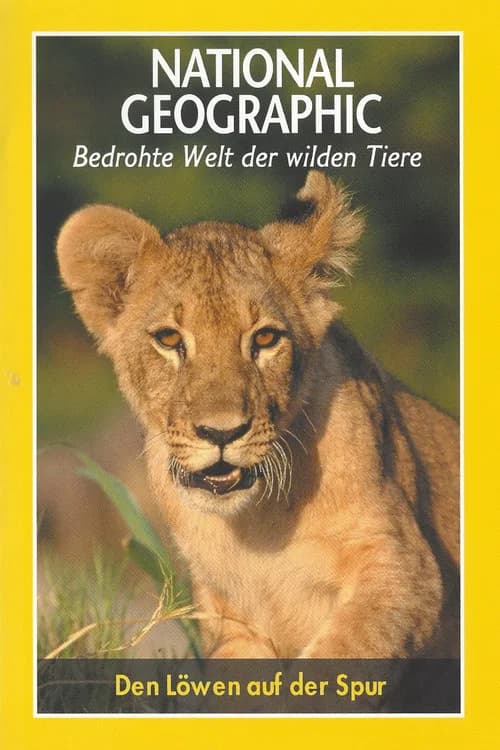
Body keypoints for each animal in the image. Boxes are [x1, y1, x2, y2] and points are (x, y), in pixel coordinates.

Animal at [56, 171, 459, 659]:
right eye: (169, 339)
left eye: (265, 338)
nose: (221, 432)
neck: (256, 526)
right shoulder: (229, 620)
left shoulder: (407, 570)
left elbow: (341, 655)